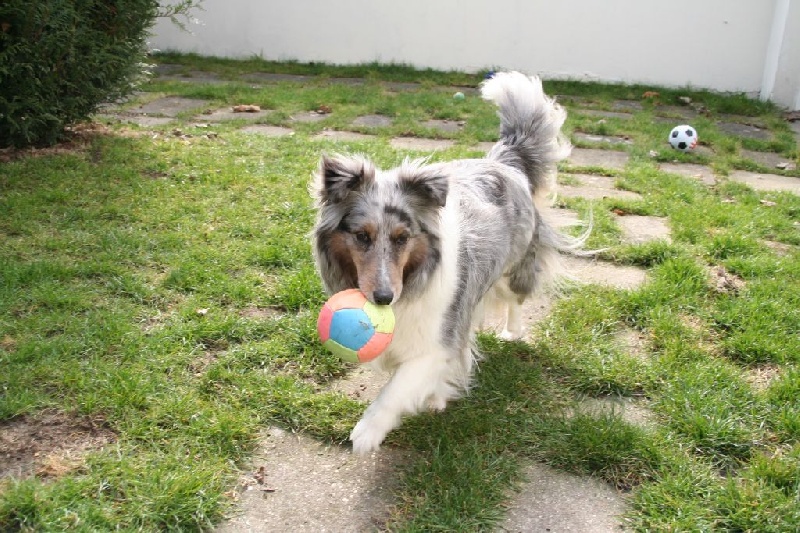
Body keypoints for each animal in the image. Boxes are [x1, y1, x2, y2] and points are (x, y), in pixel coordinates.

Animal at [310, 71, 580, 454]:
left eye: (402, 238)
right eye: (361, 236)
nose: (383, 299)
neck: (412, 280)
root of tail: (503, 162)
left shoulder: (437, 340)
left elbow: (398, 387)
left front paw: (367, 432)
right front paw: (435, 396)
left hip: (515, 269)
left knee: (515, 300)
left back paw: (512, 332)